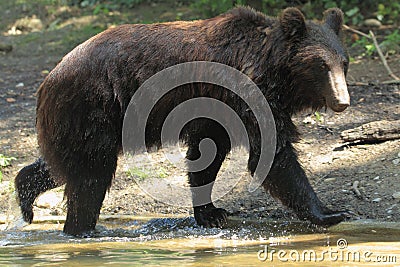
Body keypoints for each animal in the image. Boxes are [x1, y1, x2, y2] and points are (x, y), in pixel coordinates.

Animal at [14, 6, 350, 237]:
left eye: (343, 63)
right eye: (321, 64)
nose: (342, 101)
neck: (272, 70)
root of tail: (49, 78)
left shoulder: (217, 110)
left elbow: (207, 155)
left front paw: (211, 212)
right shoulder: (247, 95)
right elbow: (274, 154)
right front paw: (330, 212)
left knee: (67, 164)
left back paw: (26, 194)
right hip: (92, 106)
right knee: (90, 175)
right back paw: (80, 229)